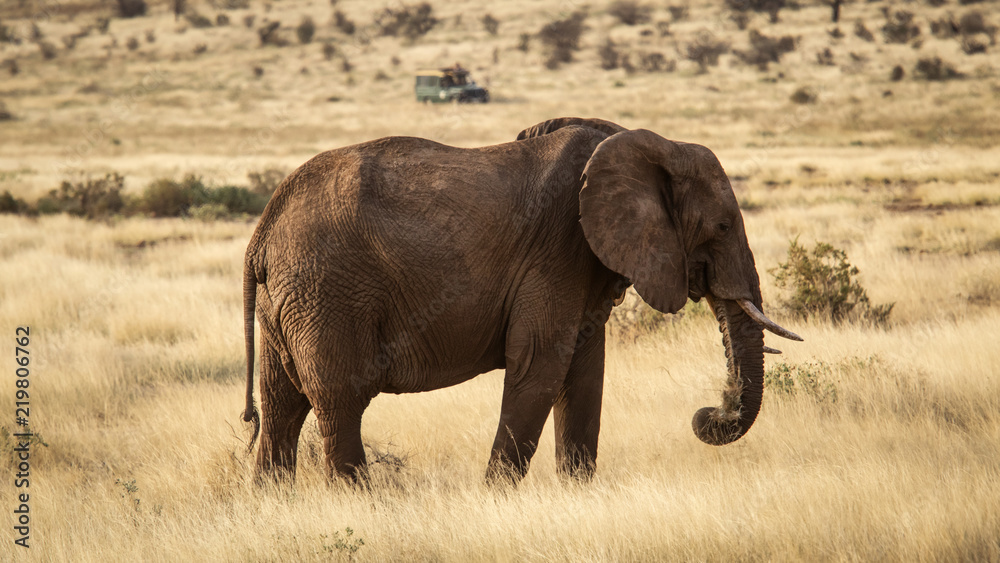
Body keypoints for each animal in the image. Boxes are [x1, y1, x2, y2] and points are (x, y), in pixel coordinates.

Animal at [242, 117, 804, 482]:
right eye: (724, 226)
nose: (709, 413)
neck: (648, 143)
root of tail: (262, 233)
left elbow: (585, 372)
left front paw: (578, 491)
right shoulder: (559, 249)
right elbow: (540, 364)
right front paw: (495, 498)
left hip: (289, 302)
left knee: (282, 407)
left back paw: (272, 500)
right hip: (326, 294)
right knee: (339, 402)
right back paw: (364, 503)